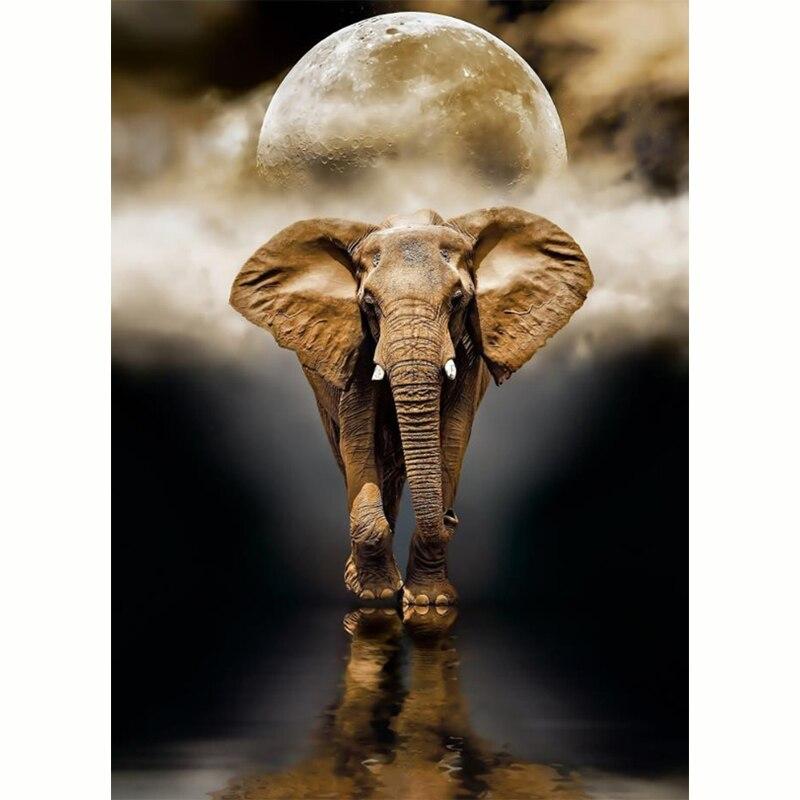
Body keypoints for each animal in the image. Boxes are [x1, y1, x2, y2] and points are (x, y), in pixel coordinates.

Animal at [230, 206, 592, 606]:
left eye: (457, 300)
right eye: (369, 304)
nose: (451, 517)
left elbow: (452, 436)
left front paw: (428, 602)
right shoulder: (358, 344)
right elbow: (357, 435)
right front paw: (375, 595)